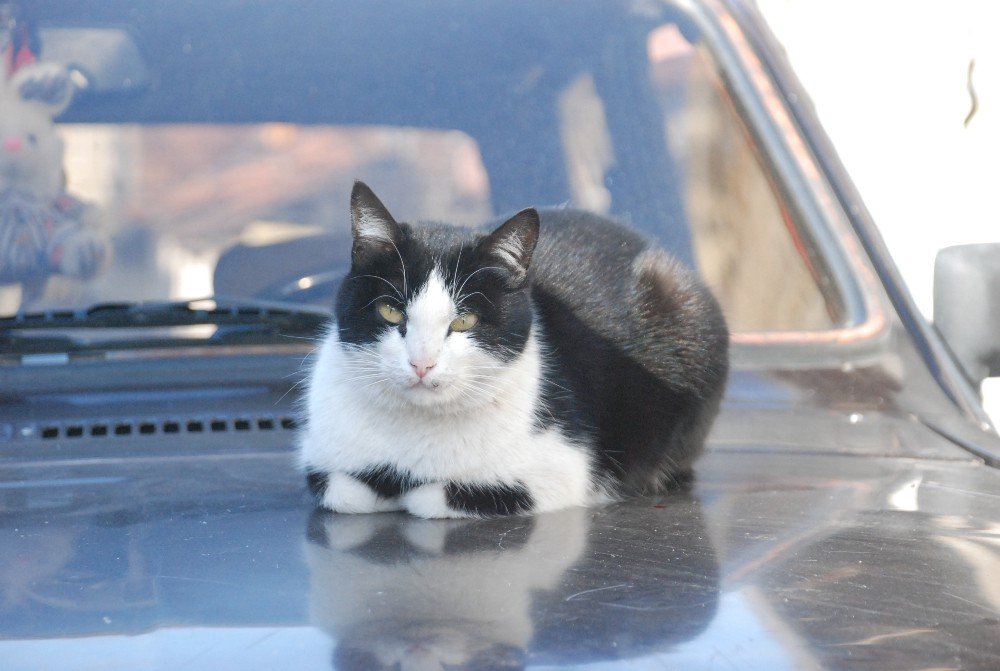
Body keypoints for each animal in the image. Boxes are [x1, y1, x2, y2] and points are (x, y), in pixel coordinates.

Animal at [296, 180, 728, 520]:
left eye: (464, 321)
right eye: (390, 311)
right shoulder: (323, 460)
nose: (422, 364)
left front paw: (410, 491)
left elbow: (432, 496)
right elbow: (346, 491)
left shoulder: (562, 471)